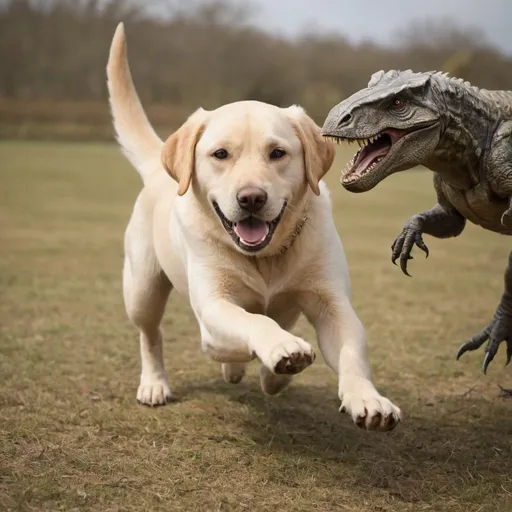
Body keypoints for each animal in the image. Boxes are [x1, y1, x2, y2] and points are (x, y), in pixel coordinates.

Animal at [108, 25, 402, 432]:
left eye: (277, 153)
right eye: (220, 154)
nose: (251, 198)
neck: (265, 258)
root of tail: (157, 166)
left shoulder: (331, 302)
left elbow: (350, 353)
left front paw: (367, 400)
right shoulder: (214, 306)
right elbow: (254, 322)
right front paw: (282, 349)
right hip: (142, 289)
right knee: (151, 334)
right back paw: (155, 383)